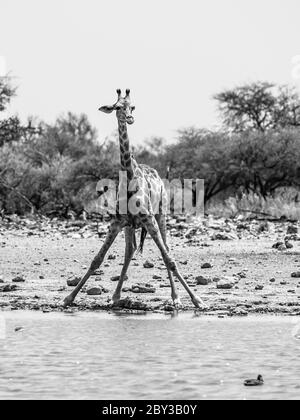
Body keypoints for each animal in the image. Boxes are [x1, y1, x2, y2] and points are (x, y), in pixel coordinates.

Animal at [63, 90, 206, 310]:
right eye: (117, 107)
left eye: (132, 106)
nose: (130, 118)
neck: (130, 176)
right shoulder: (117, 221)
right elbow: (97, 259)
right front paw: (69, 297)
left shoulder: (149, 219)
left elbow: (169, 259)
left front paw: (196, 300)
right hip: (131, 226)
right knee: (129, 251)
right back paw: (115, 296)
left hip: (161, 215)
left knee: (166, 249)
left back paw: (175, 297)